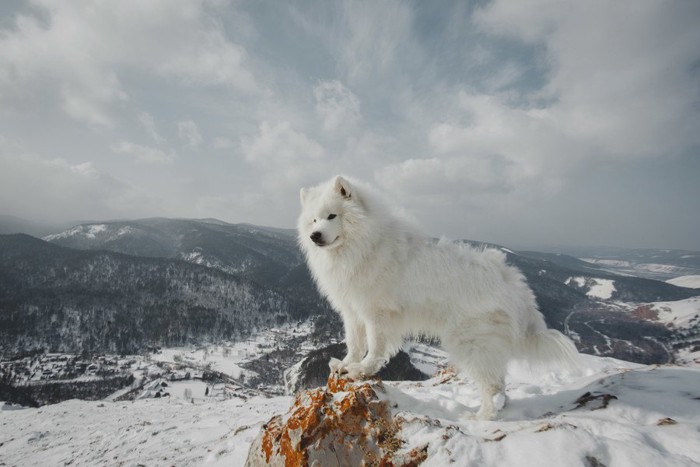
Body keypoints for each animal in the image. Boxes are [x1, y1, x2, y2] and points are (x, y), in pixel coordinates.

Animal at [298, 176, 576, 420]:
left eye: (332, 216)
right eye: (314, 220)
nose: (315, 235)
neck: (363, 246)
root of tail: (513, 282)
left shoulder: (377, 313)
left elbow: (375, 348)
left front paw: (361, 370)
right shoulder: (352, 311)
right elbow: (354, 344)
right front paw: (345, 365)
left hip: (471, 343)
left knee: (492, 387)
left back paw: (480, 418)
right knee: (500, 386)